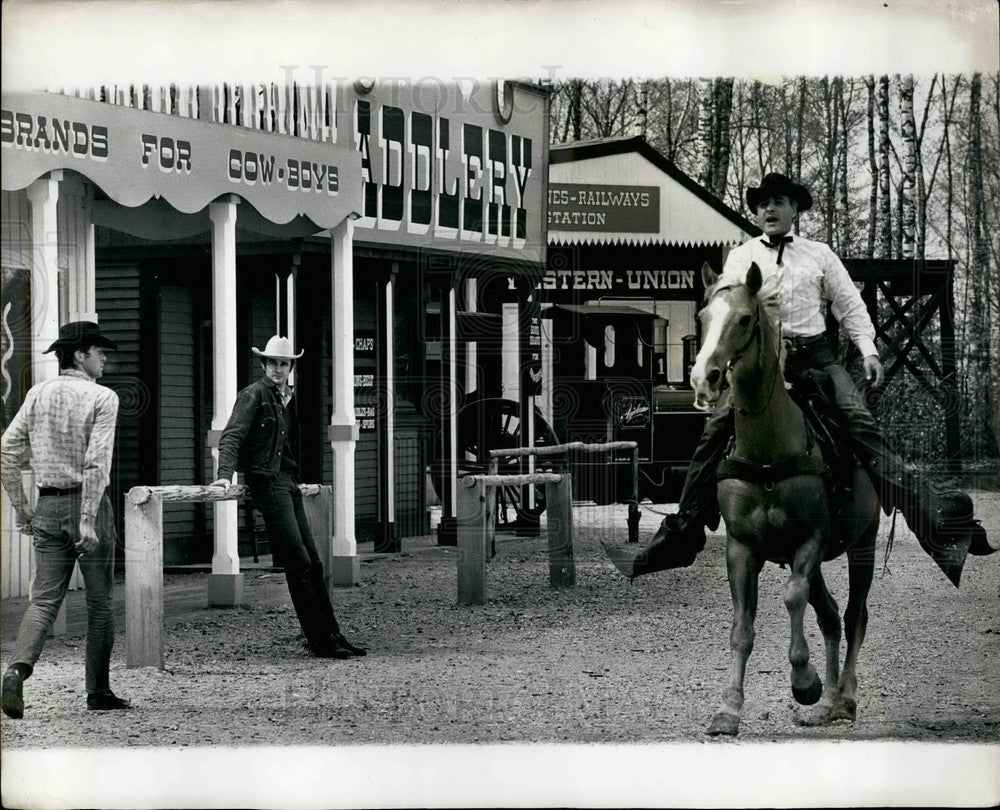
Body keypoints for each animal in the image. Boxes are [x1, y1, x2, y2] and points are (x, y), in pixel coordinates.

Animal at [692, 262, 880, 736]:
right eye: (703, 317)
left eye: (744, 319)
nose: (705, 377)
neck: (768, 453)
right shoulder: (742, 547)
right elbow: (742, 627)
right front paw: (729, 709)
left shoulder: (809, 540)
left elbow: (793, 597)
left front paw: (804, 681)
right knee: (829, 615)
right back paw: (827, 703)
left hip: (864, 544)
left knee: (853, 615)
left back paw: (843, 698)